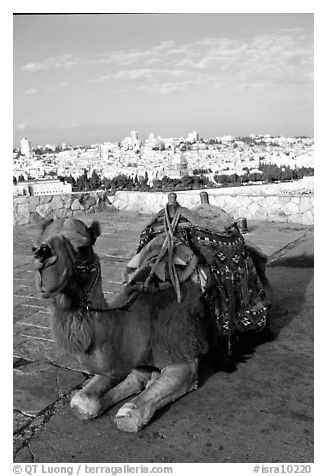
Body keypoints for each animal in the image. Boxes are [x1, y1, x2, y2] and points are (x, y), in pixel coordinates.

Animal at [32, 192, 272, 432]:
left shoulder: (182, 358)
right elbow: (82, 401)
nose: (43, 255)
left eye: (82, 247)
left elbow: (129, 415)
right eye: (35, 247)